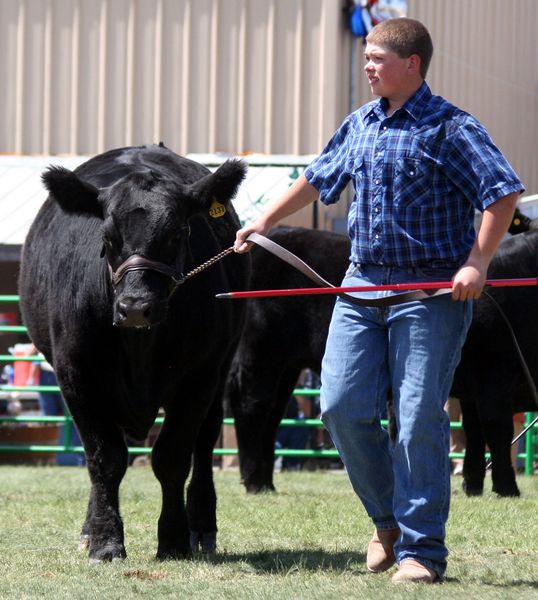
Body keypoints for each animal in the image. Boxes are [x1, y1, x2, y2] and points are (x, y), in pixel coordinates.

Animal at [18, 144, 249, 564]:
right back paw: (88, 531)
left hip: (221, 370)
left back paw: (201, 527)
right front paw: (105, 541)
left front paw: (173, 539)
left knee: (205, 445)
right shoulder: (77, 377)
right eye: (107, 236)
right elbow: (104, 459)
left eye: (178, 233)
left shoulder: (198, 378)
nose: (136, 306)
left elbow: (172, 457)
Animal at [226, 219, 536, 496]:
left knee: (274, 414)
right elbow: (497, 428)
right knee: (253, 406)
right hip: (262, 354)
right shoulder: (494, 373)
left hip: (288, 366)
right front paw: (507, 488)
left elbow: (474, 432)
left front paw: (473, 486)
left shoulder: (475, 385)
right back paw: (254, 481)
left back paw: (266, 482)